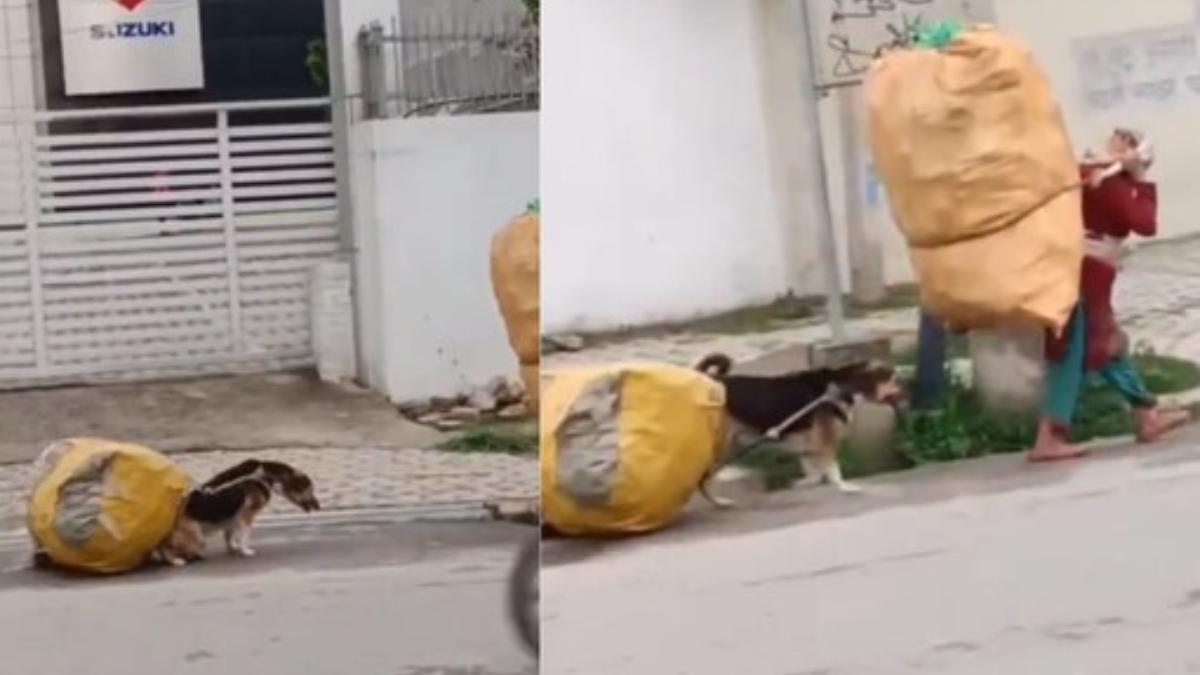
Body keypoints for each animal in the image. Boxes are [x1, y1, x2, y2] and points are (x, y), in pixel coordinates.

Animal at [691, 353, 902, 504]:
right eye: (892, 379)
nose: (906, 388)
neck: (841, 384)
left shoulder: (805, 444)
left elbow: (815, 473)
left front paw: (802, 483)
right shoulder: (825, 442)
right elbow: (833, 470)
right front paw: (845, 488)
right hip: (722, 447)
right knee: (703, 480)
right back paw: (720, 501)